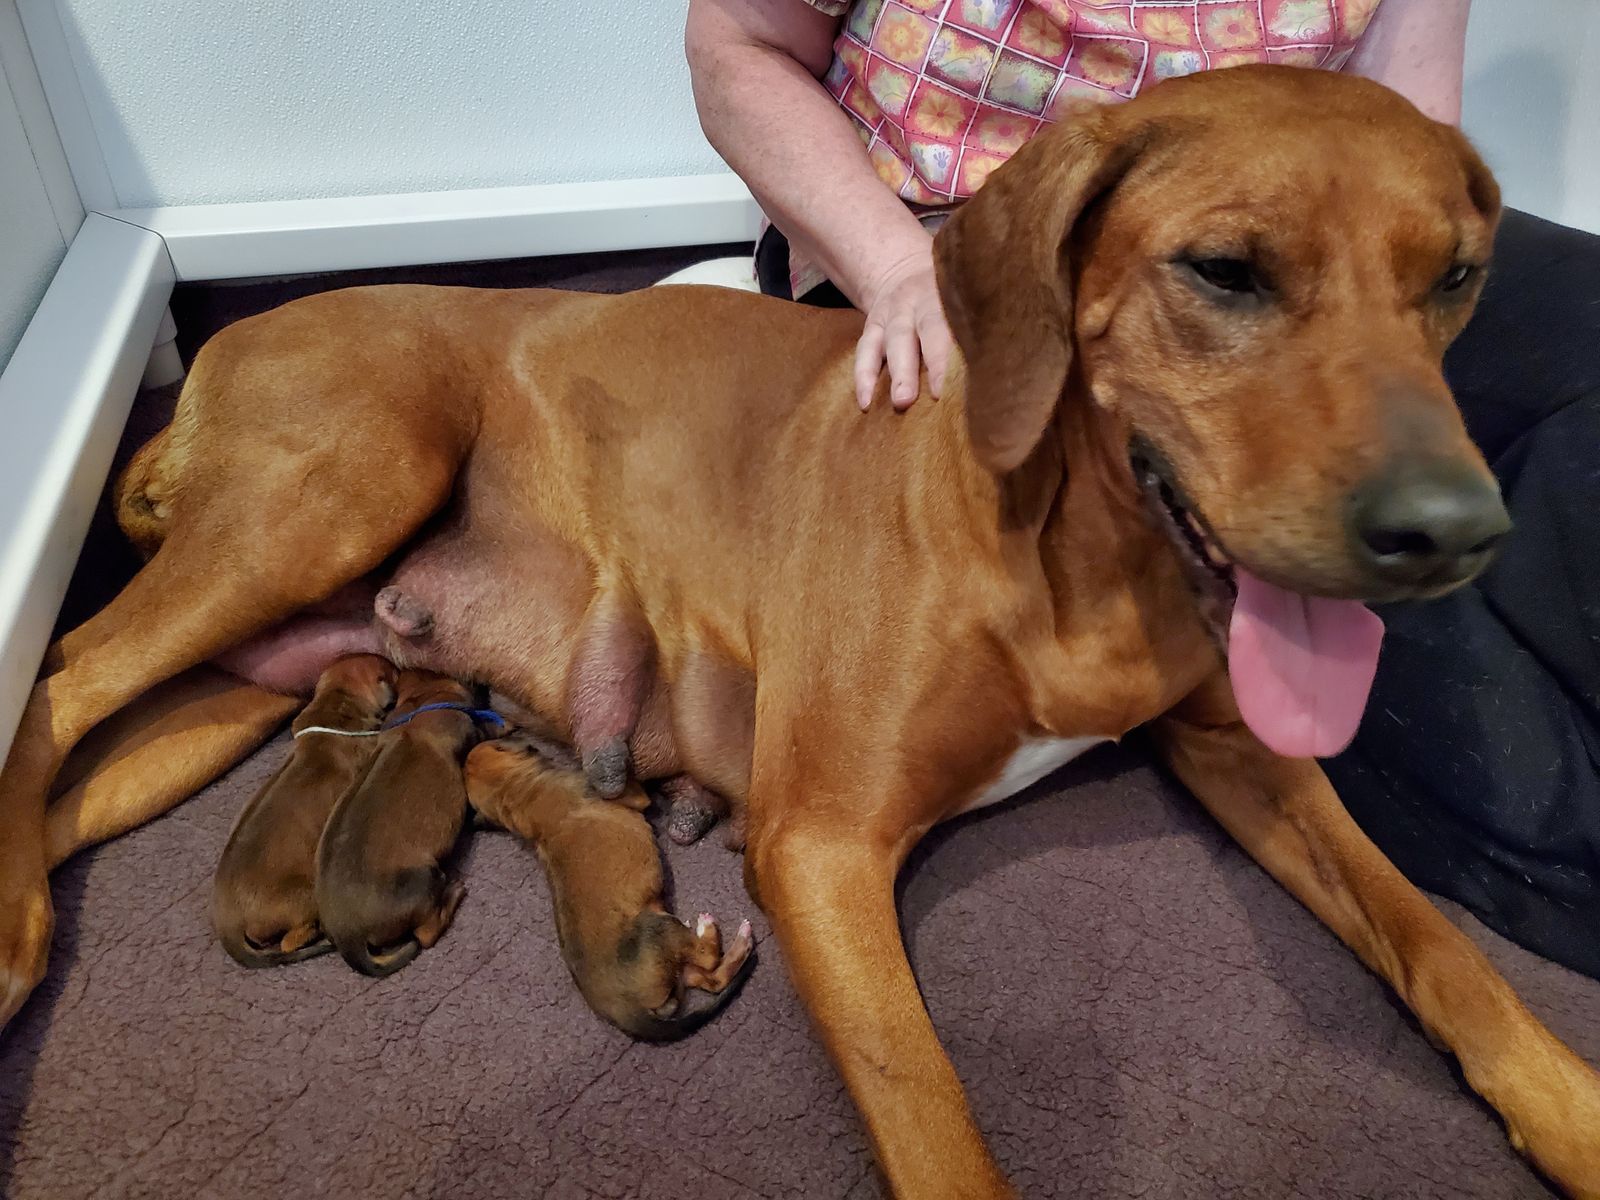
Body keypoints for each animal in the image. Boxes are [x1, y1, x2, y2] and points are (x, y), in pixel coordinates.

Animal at [313, 670, 487, 977]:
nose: (483, 683)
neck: (421, 702)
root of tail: (348, 936)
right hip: (426, 876)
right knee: (426, 935)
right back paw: (454, 893)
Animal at [465, 732, 755, 1040]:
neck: (518, 792)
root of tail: (627, 1011)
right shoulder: (633, 797)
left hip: (678, 969)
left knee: (714, 979)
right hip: (659, 927)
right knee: (709, 959)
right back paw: (714, 928)